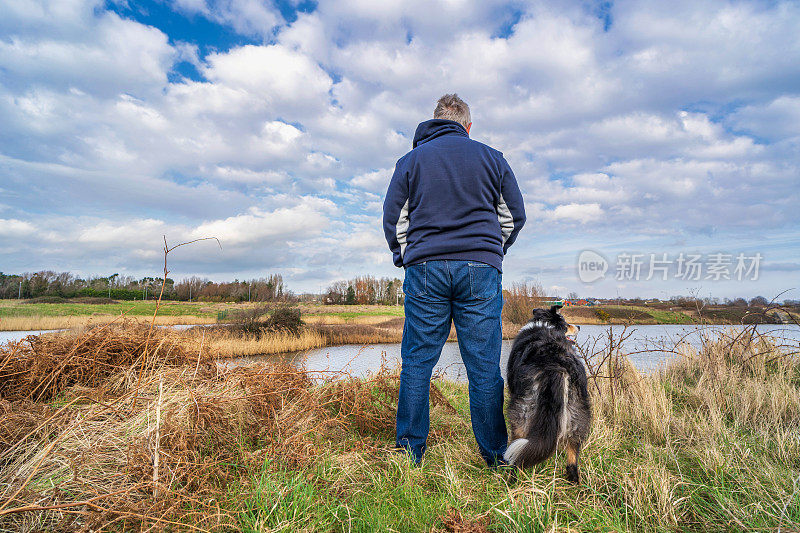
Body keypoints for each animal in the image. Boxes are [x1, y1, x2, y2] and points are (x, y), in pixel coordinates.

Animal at [504, 304, 592, 482]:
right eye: (566, 324)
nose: (579, 326)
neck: (546, 324)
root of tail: (555, 364)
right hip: (578, 410)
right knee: (573, 454)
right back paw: (574, 481)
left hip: (522, 412)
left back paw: (512, 478)